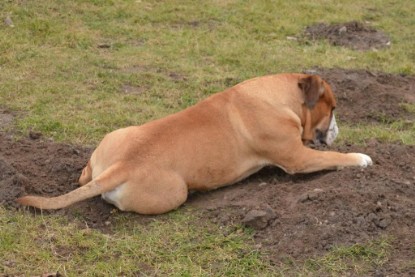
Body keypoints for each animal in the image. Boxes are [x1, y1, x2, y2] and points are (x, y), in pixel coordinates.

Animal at [16, 73, 374, 213]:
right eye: (333, 108)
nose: (338, 127)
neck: (277, 95)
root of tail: (121, 167)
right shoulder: (298, 158)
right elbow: (335, 157)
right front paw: (360, 158)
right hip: (176, 191)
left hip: (116, 136)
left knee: (84, 176)